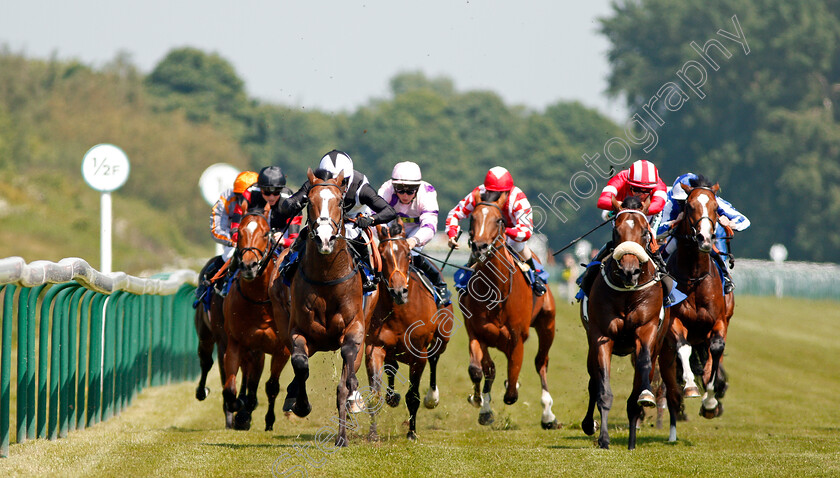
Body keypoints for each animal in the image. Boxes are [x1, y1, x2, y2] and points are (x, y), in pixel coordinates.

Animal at [221, 211, 290, 432]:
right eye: (239, 232)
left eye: (266, 233)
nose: (249, 266)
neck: (259, 299)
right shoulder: (236, 343)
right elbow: (231, 389)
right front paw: (240, 409)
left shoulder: (282, 349)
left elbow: (272, 386)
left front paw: (268, 421)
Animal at [282, 169, 374, 448]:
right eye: (308, 201)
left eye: (339, 201)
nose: (324, 239)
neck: (326, 278)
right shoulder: (299, 332)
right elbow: (300, 365)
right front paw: (301, 404)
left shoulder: (354, 328)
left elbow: (345, 377)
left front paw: (342, 436)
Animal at [362, 220, 450, 440]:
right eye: (381, 255)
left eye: (408, 254)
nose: (398, 292)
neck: (399, 311)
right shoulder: (374, 347)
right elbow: (374, 394)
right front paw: (373, 434)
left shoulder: (419, 354)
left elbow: (413, 396)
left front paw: (412, 432)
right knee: (392, 367)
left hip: (441, 340)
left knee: (434, 359)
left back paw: (432, 397)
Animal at [456, 190, 560, 430]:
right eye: (472, 218)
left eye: (499, 220)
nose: (480, 247)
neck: (495, 290)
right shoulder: (476, 332)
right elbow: (479, 369)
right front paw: (480, 403)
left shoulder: (517, 337)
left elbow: (512, 384)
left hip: (547, 324)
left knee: (541, 362)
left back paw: (548, 415)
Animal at [660, 181, 732, 442]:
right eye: (689, 206)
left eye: (715, 207)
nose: (704, 238)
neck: (694, 278)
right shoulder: (675, 321)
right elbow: (683, 347)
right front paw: (690, 385)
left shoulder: (719, 321)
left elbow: (716, 350)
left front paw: (710, 401)